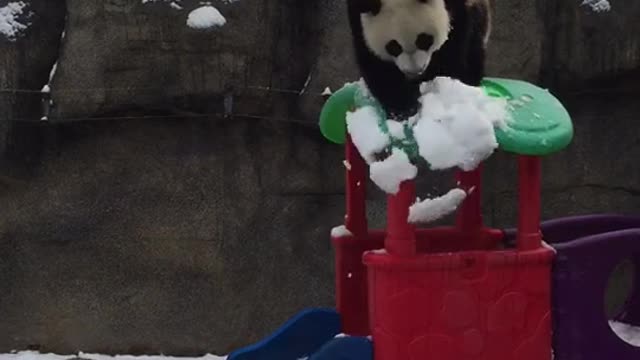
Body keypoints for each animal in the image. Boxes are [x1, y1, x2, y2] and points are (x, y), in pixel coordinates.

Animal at [348, 0, 492, 117]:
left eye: (423, 40)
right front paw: (403, 107)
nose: (415, 70)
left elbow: (455, 39)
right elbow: (374, 62)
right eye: (393, 47)